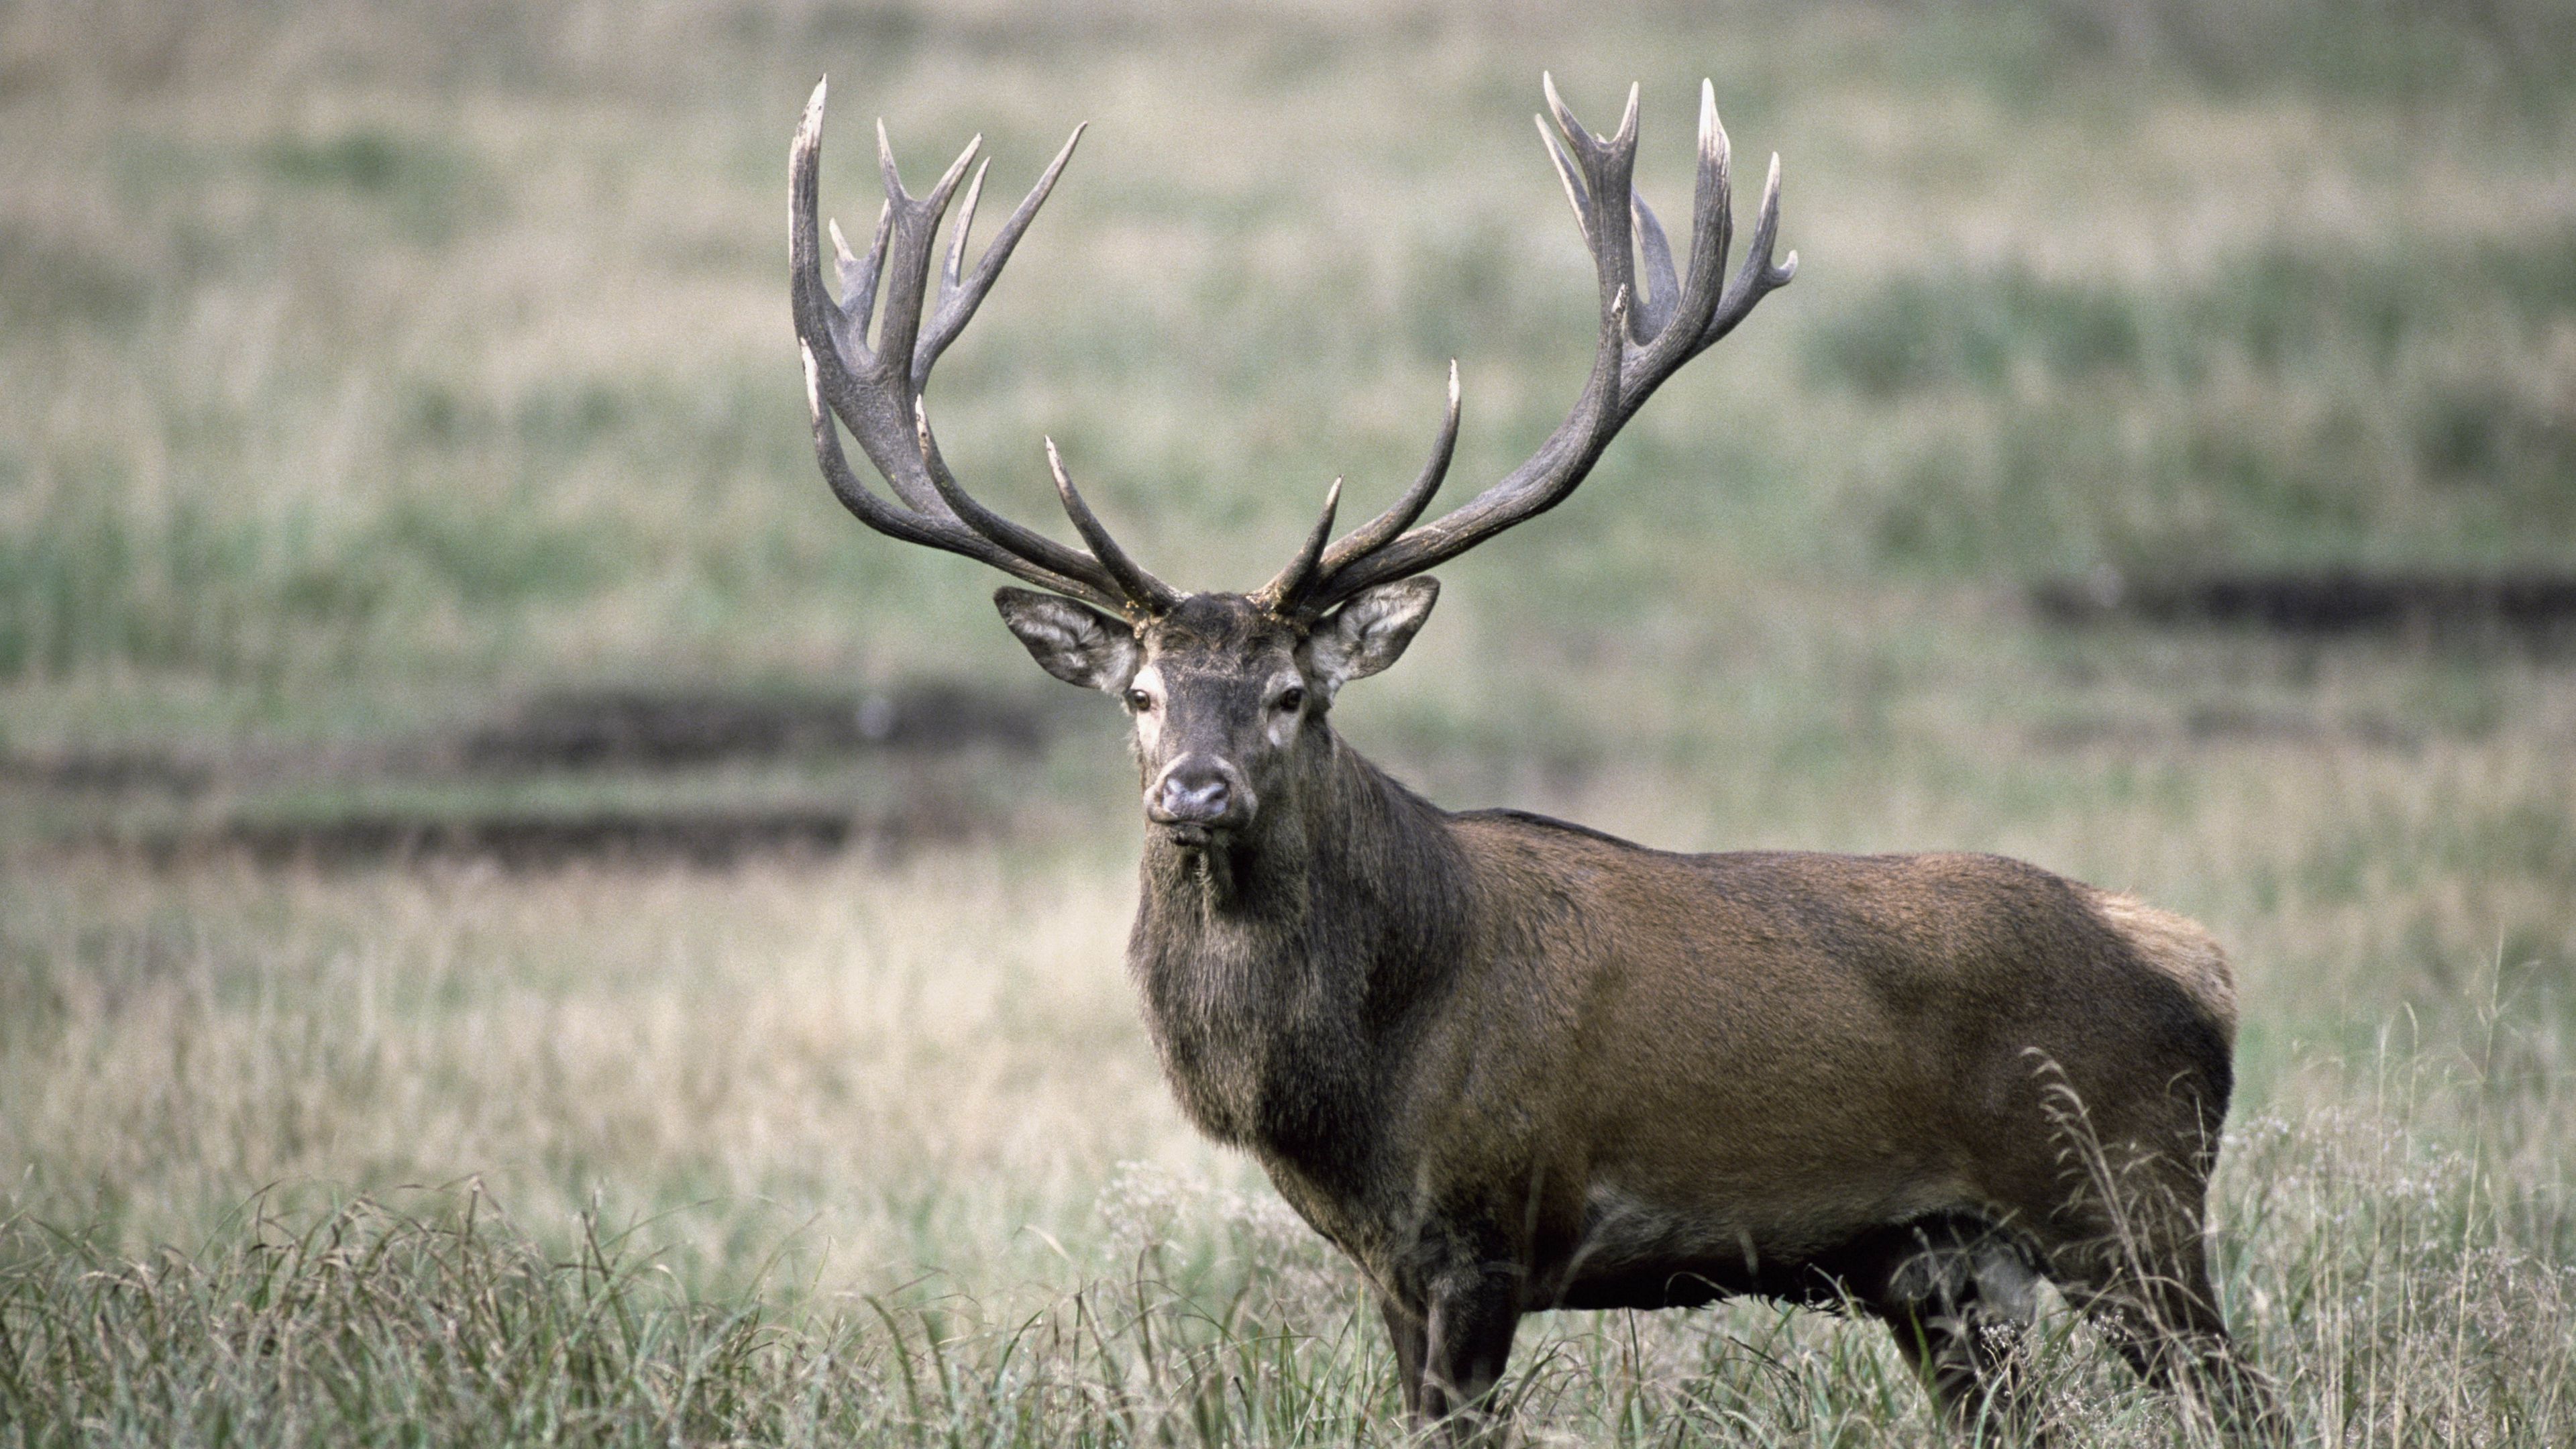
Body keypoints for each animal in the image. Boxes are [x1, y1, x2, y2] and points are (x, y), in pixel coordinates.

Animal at [787, 74, 2281, 1442]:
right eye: (1142, 694)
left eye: (1291, 695)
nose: (1193, 794)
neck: (1354, 1084)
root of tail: (2197, 959)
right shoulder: (1388, 1265)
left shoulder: (1486, 1229)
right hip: (1945, 1270)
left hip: (2125, 1199)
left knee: (2244, 1397)